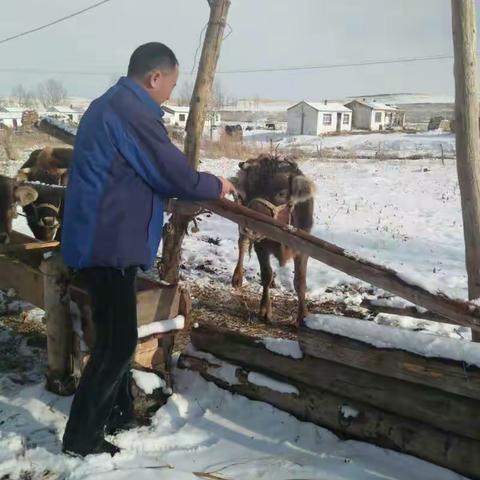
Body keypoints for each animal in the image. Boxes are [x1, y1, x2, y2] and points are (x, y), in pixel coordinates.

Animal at [230, 156, 316, 324]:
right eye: (248, 192)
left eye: (282, 193)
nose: (251, 225)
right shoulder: (261, 246)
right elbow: (266, 275)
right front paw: (264, 309)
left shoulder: (303, 248)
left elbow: (300, 282)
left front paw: (303, 316)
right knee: (242, 243)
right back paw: (237, 277)